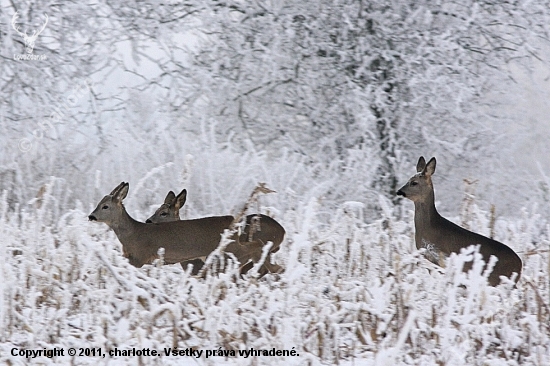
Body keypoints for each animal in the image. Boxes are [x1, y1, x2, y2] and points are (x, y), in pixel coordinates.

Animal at [87, 182, 270, 274]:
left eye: (105, 206)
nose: (91, 216)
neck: (132, 234)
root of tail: (233, 221)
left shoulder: (140, 256)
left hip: (228, 249)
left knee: (256, 245)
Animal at [398, 157, 524, 286]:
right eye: (408, 180)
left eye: (414, 182)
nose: (399, 191)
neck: (429, 227)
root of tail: (520, 265)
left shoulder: (441, 255)